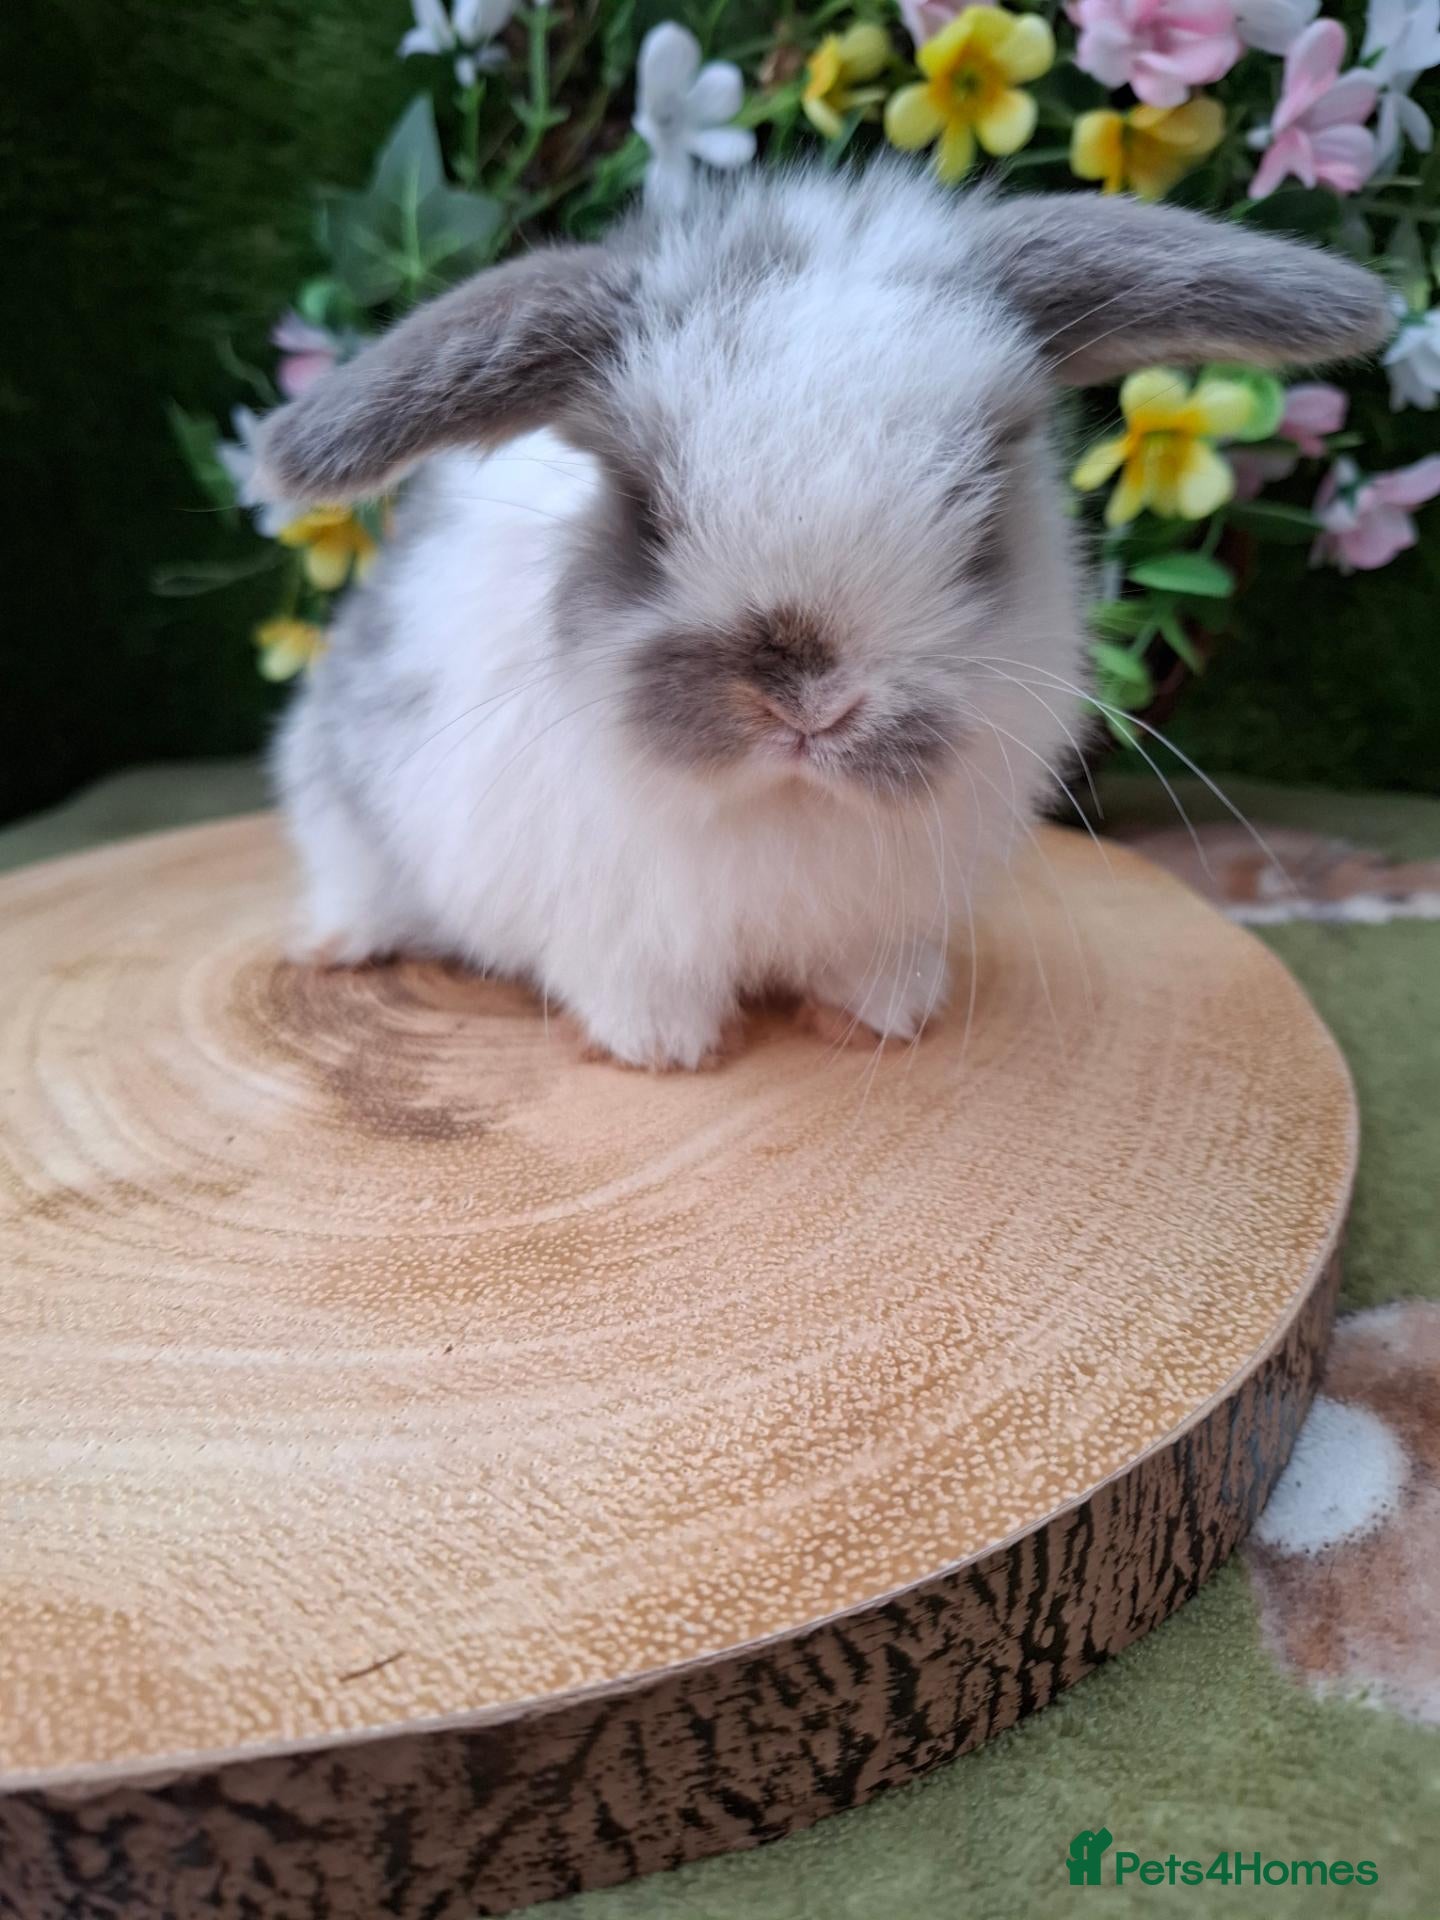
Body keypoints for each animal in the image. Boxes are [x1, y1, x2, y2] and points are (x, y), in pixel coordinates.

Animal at [254, 162, 1389, 1070]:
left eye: (979, 501)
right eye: (648, 511)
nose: (808, 700)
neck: (788, 802)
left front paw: (886, 1018)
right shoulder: (604, 911)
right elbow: (631, 977)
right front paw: (665, 1048)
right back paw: (336, 944)